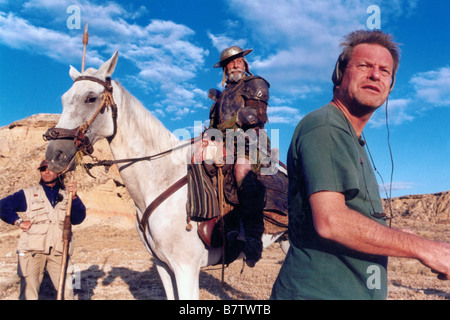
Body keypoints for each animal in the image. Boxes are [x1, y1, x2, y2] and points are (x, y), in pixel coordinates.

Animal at [44, 51, 284, 298]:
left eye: (90, 98)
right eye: (64, 99)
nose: (54, 155)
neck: (160, 179)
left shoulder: (186, 269)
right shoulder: (163, 266)